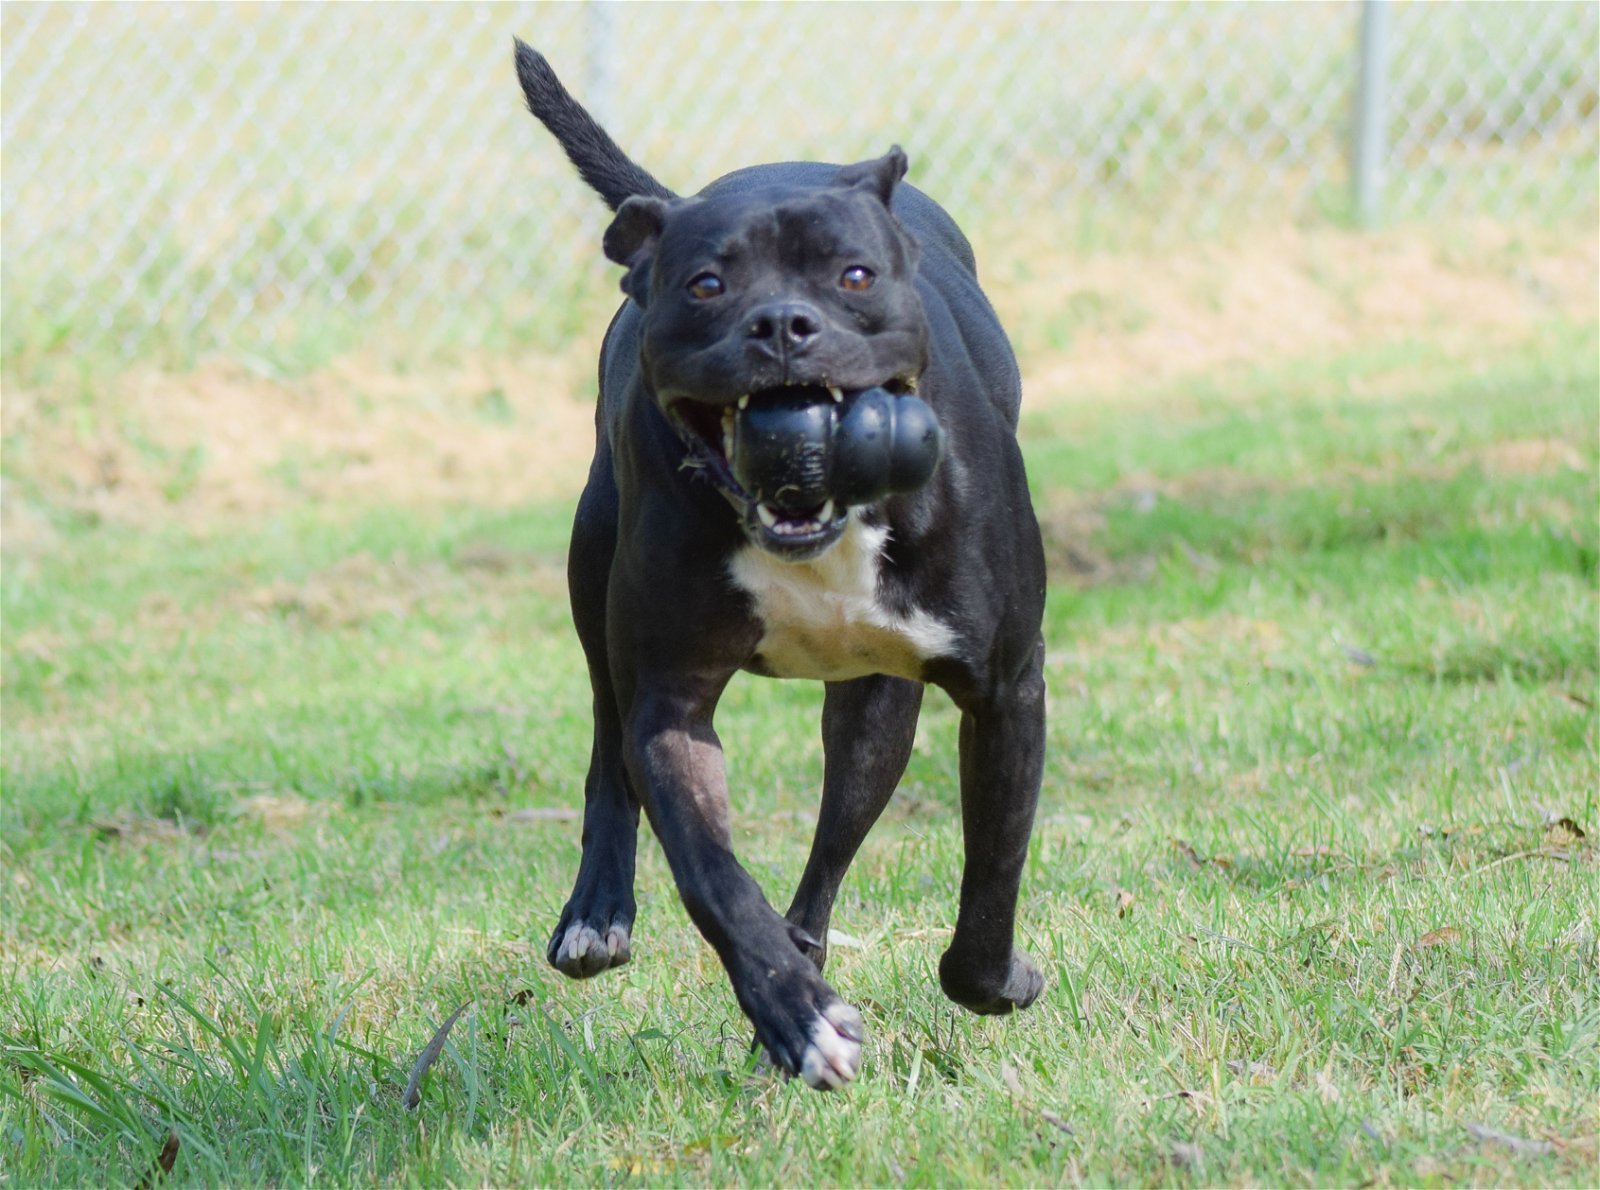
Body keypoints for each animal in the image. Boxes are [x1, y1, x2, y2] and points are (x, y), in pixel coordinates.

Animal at [518, 44, 1049, 1087]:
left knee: (835, 841)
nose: (780, 325)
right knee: (606, 741)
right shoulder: (670, 707)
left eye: (855, 275)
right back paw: (602, 915)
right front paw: (795, 1014)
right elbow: (713, 878)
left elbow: (991, 881)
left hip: (875, 708)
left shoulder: (1007, 688)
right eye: (706, 286)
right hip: (591, 565)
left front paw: (996, 980)